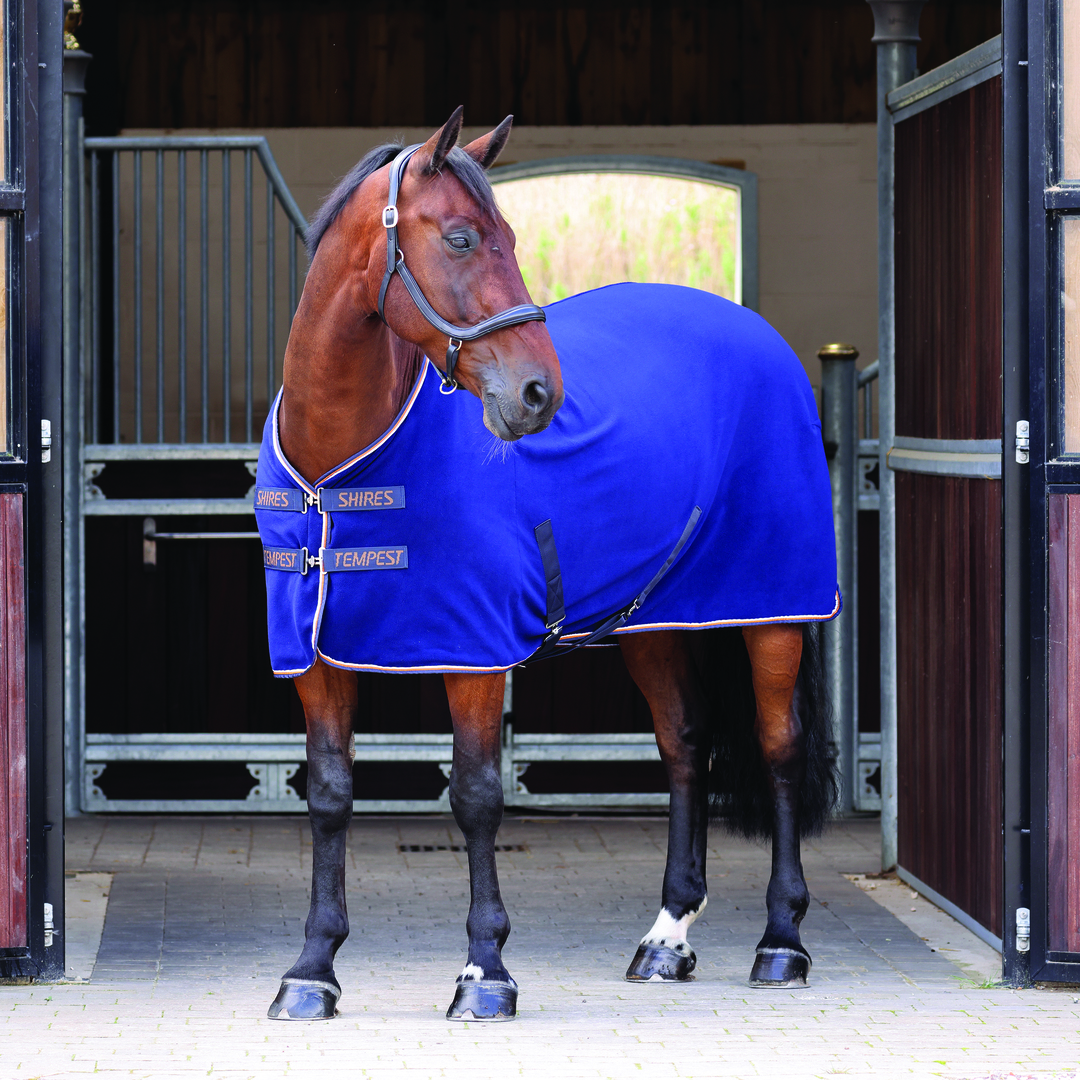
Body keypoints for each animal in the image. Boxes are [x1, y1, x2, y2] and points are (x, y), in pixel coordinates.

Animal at [256, 107, 839, 1022]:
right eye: (461, 238)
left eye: (510, 238)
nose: (538, 394)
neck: (336, 468)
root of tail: (758, 338)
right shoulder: (313, 655)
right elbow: (328, 798)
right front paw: (312, 970)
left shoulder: (473, 650)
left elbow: (476, 797)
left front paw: (485, 973)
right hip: (654, 619)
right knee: (685, 744)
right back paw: (666, 938)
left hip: (773, 607)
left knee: (778, 749)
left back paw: (782, 942)